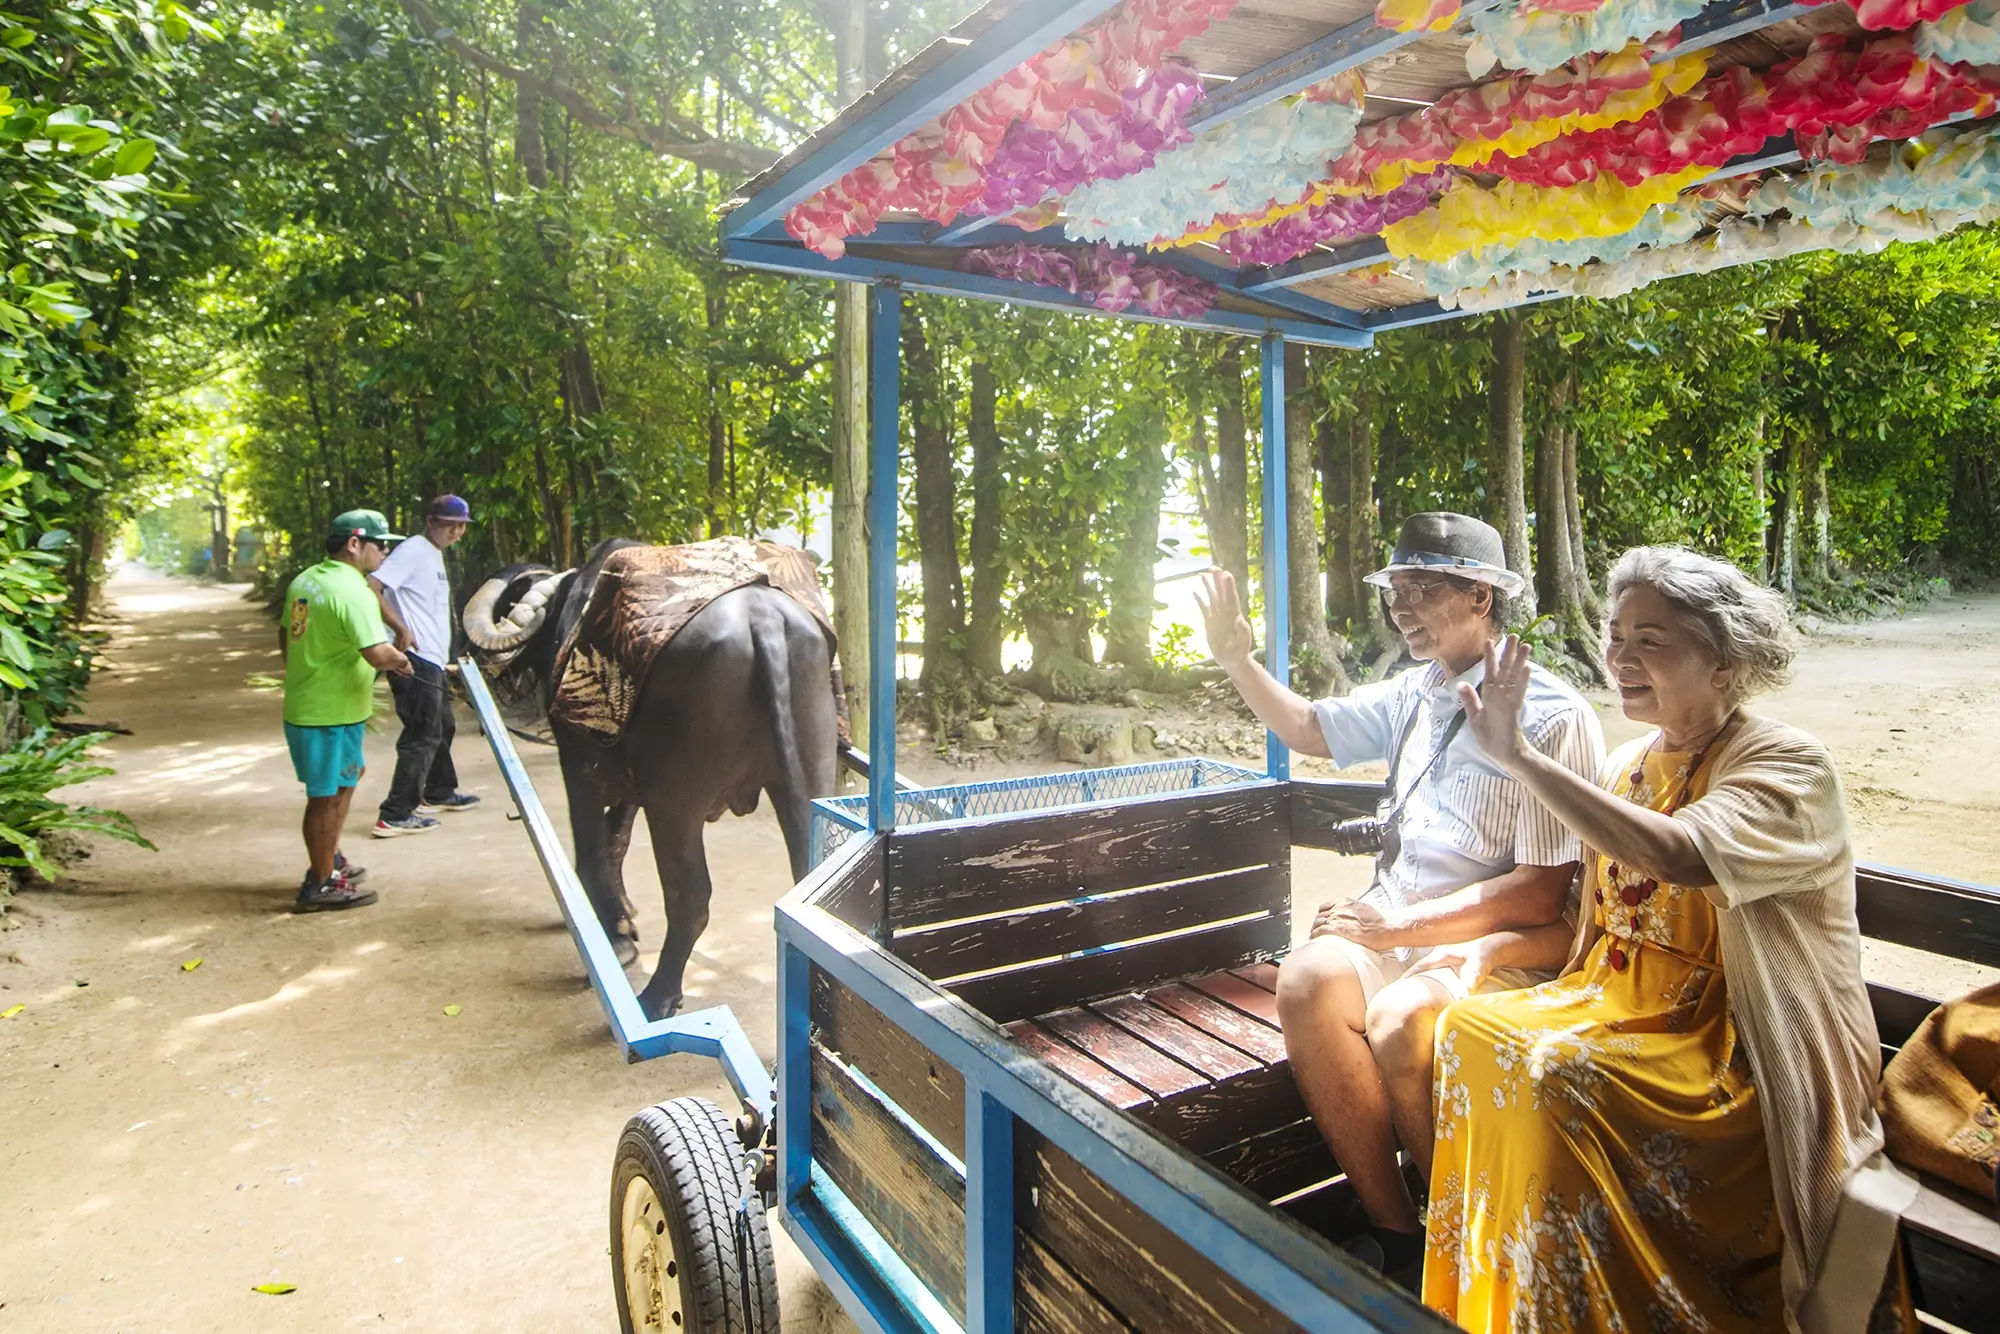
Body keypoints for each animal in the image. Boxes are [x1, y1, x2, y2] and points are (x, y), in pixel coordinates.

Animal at [464, 536, 840, 1016]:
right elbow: (618, 839)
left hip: (675, 807)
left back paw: (657, 996)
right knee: (805, 881)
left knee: (690, 898)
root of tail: (764, 620)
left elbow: (592, 848)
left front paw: (616, 935)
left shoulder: (579, 765)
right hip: (809, 782)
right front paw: (624, 912)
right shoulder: (633, 787)